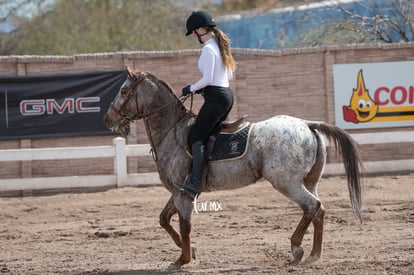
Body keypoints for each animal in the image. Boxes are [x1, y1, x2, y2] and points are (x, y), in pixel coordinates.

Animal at [103, 67, 362, 272]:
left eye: (124, 91)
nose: (108, 119)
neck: (171, 130)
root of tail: (307, 125)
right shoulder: (178, 192)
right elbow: (164, 220)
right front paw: (191, 251)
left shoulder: (183, 194)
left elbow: (185, 226)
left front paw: (182, 259)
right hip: (308, 181)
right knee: (319, 210)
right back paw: (314, 255)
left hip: (287, 183)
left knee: (312, 206)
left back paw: (297, 249)